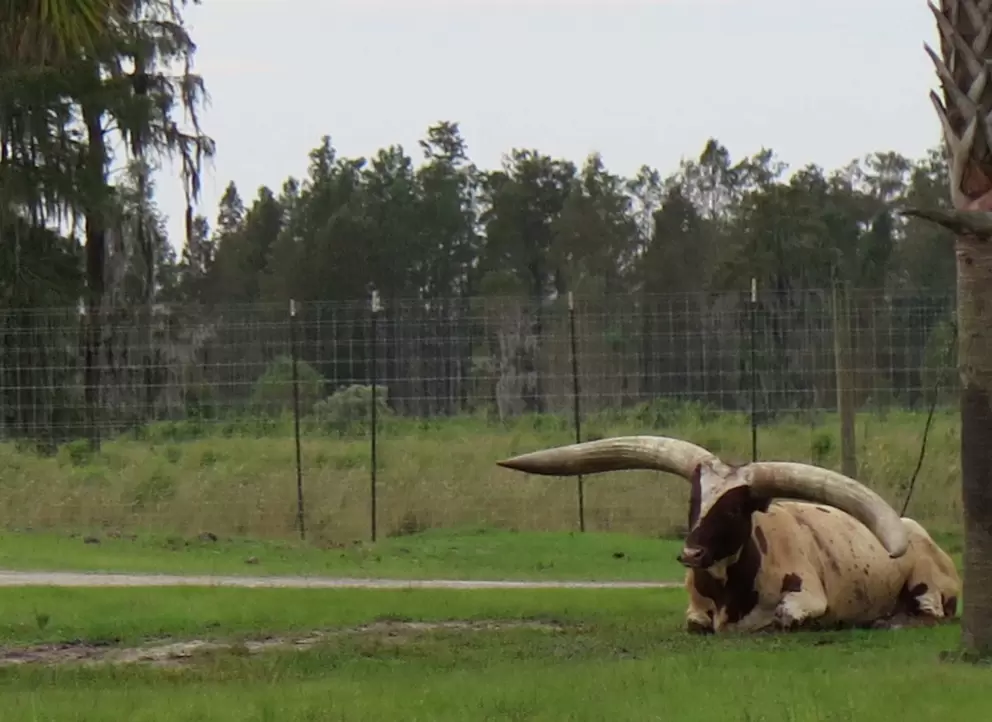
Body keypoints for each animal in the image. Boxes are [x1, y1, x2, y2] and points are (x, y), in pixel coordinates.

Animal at [497, 435, 961, 634]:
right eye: (693, 501)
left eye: (735, 508)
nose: (691, 554)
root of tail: (916, 530)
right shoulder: (696, 609)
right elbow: (696, 623)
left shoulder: (809, 595)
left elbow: (787, 617)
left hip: (928, 585)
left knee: (930, 611)